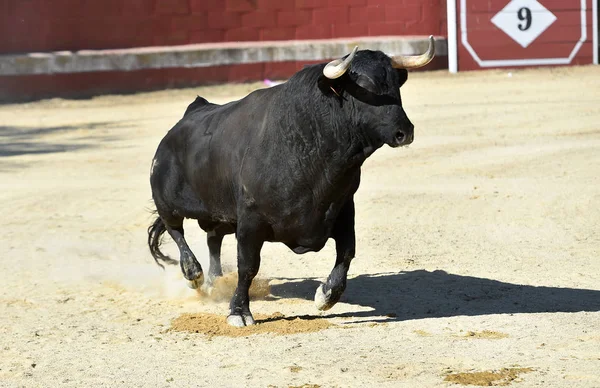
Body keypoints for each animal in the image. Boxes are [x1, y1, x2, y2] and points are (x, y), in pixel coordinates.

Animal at [148, 39, 434, 326]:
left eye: (395, 85)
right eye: (365, 88)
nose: (404, 132)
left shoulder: (342, 208)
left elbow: (346, 253)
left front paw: (325, 296)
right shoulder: (250, 221)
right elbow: (248, 266)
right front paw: (239, 312)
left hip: (221, 214)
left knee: (213, 239)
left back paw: (214, 281)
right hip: (168, 203)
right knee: (176, 231)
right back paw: (193, 274)